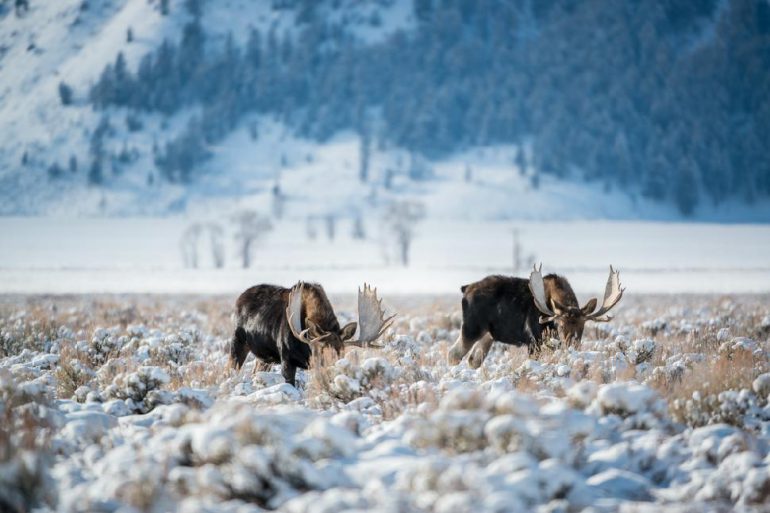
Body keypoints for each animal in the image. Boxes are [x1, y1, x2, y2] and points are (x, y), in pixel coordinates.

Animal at [230, 282, 394, 386]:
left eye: (342, 350)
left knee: (256, 370)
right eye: (320, 348)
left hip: (264, 357)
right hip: (238, 341)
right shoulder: (286, 358)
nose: (333, 365)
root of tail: (239, 298)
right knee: (231, 368)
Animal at [448, 265, 623, 368]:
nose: (572, 344)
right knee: (453, 354)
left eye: (583, 326)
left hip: (488, 335)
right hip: (471, 327)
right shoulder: (533, 340)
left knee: (473, 360)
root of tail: (465, 289)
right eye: (560, 325)